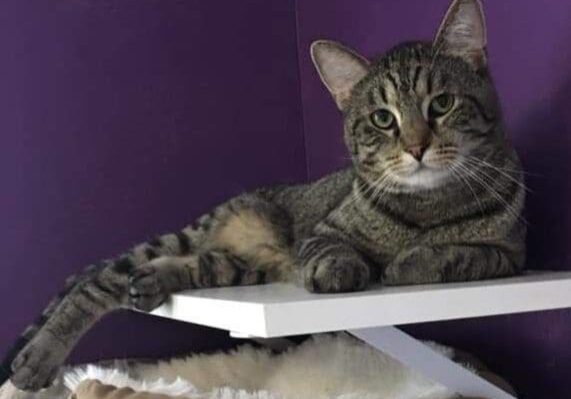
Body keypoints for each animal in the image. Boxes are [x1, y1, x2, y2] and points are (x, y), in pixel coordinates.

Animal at [0, 0, 528, 394]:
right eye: (383, 119)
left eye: (442, 104)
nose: (416, 146)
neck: (426, 205)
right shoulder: (321, 233)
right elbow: (334, 250)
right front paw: (344, 268)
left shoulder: (510, 255)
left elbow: (460, 253)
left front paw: (412, 260)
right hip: (189, 237)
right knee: (95, 282)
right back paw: (39, 356)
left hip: (241, 267)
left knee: (192, 266)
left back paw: (152, 280)